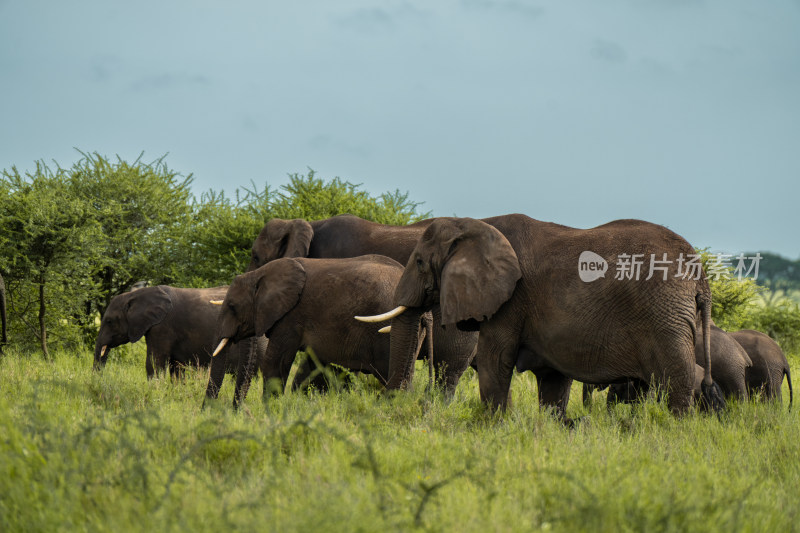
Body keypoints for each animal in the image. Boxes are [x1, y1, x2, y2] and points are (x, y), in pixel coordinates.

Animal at [94, 282, 262, 378]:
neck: (136, 294)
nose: (100, 378)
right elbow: (176, 368)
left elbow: (154, 362)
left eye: (109, 321)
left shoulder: (162, 327)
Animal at [208, 256, 432, 406]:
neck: (260, 274)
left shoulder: (290, 317)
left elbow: (275, 362)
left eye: (232, 306)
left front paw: (271, 410)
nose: (235, 409)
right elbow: (315, 366)